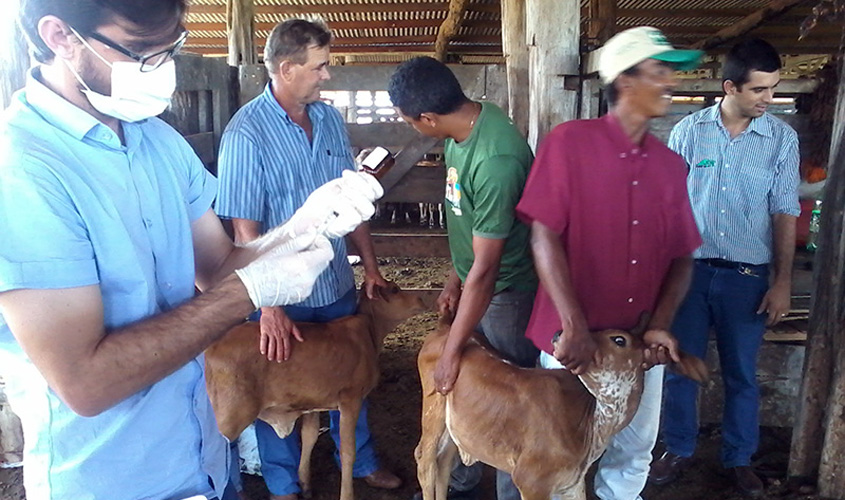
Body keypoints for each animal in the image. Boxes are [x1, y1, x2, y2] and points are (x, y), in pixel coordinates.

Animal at [208, 284, 426, 500]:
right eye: (395, 290)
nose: (420, 299)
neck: (369, 332)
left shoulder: (312, 403)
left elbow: (309, 437)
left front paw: (305, 485)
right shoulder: (351, 399)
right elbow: (348, 452)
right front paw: (346, 494)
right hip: (230, 414)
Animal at [416, 316, 704, 500]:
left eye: (619, 340)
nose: (558, 334)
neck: (592, 425)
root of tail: (443, 329)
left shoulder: (572, 482)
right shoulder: (530, 481)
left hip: (454, 429)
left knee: (444, 460)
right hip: (432, 411)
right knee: (425, 458)